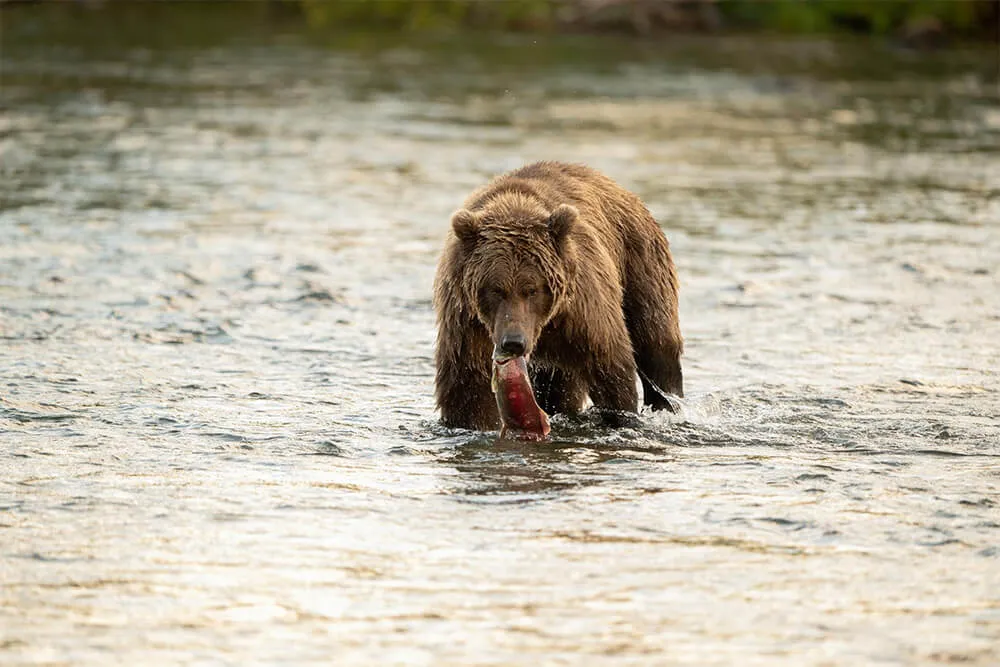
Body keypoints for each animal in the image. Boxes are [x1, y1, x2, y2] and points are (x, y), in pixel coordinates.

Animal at [433, 161, 683, 430]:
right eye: (496, 289)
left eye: (532, 289)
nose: (514, 342)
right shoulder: (469, 324)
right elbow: (469, 389)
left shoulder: (582, 314)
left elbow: (610, 368)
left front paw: (619, 414)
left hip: (639, 262)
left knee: (656, 342)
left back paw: (668, 403)